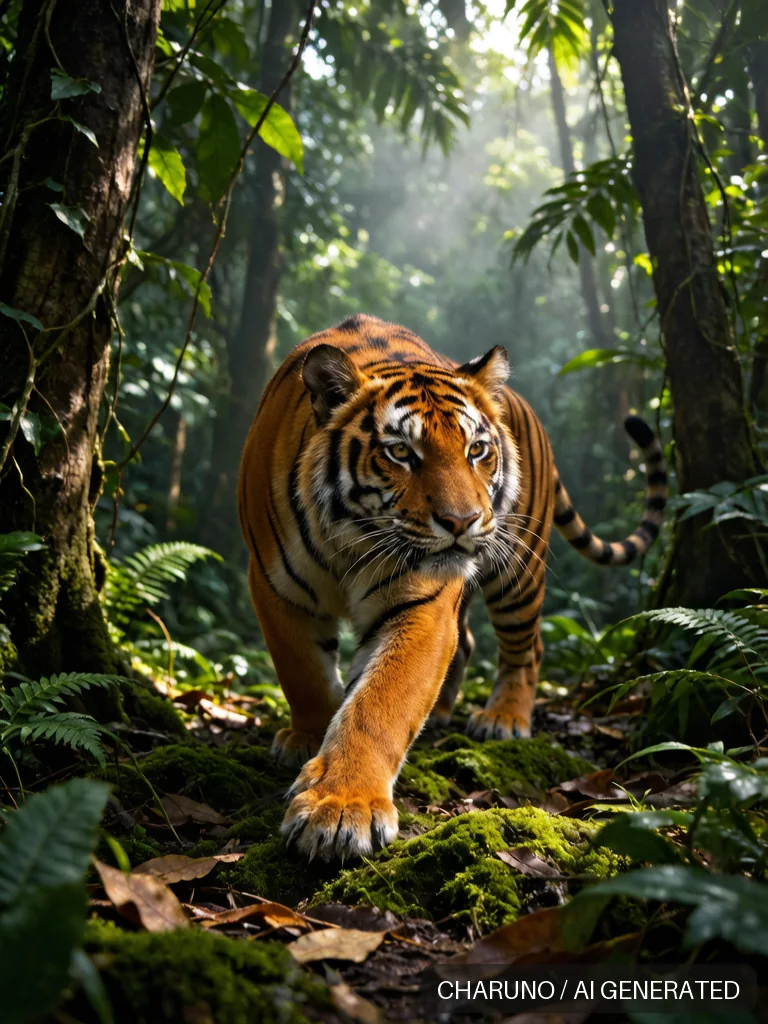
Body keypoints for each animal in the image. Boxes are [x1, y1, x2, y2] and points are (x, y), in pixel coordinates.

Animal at [238, 314, 667, 861]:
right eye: (401, 452)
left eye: (476, 450)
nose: (462, 522)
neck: (351, 538)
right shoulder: (275, 586)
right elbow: (304, 675)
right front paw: (307, 738)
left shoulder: (422, 601)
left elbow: (380, 703)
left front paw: (340, 808)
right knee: (466, 641)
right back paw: (441, 712)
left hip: (519, 568)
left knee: (527, 648)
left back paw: (503, 718)